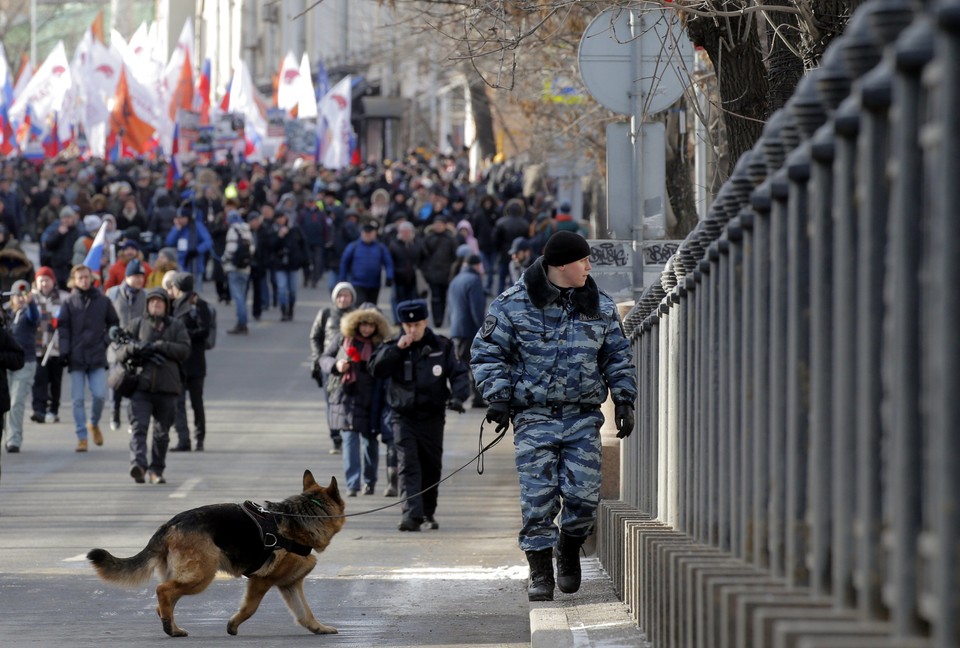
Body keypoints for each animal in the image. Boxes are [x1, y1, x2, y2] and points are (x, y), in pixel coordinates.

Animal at [87, 470, 344, 636]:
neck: (303, 516)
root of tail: (170, 524)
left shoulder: (290, 585)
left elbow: (305, 612)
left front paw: (318, 628)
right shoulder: (261, 581)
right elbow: (250, 608)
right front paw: (233, 625)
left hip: (190, 575)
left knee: (165, 600)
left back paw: (170, 624)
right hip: (202, 575)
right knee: (163, 591)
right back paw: (171, 628)